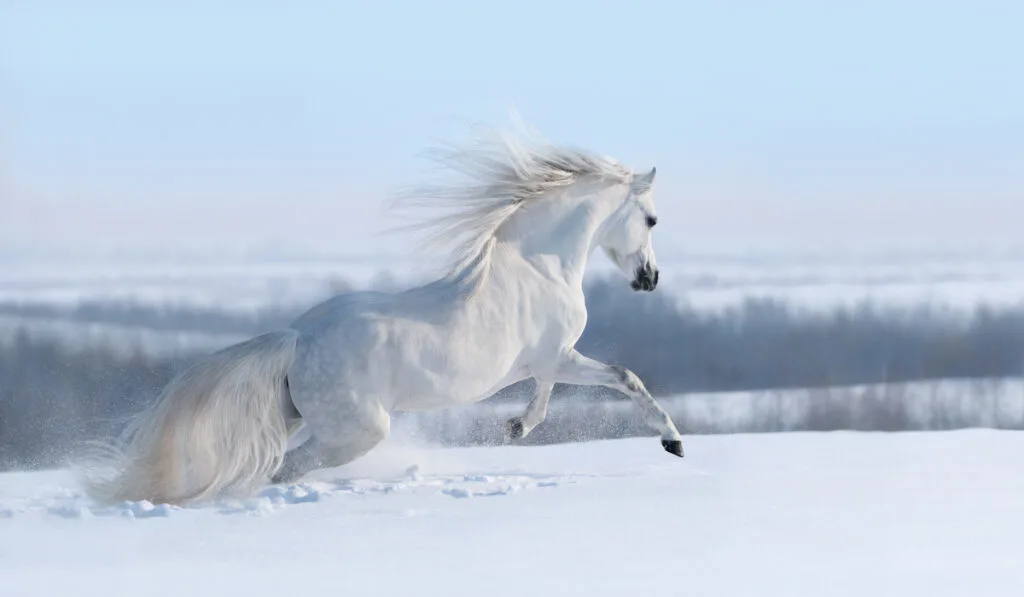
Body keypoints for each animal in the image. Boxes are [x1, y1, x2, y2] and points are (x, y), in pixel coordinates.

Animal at [79, 124, 684, 503]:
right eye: (652, 219)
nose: (650, 279)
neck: (539, 265)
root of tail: (296, 339)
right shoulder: (558, 355)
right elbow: (625, 377)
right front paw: (672, 440)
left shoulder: (547, 361)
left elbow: (548, 394)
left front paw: (515, 426)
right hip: (357, 432)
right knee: (284, 469)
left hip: (301, 418)